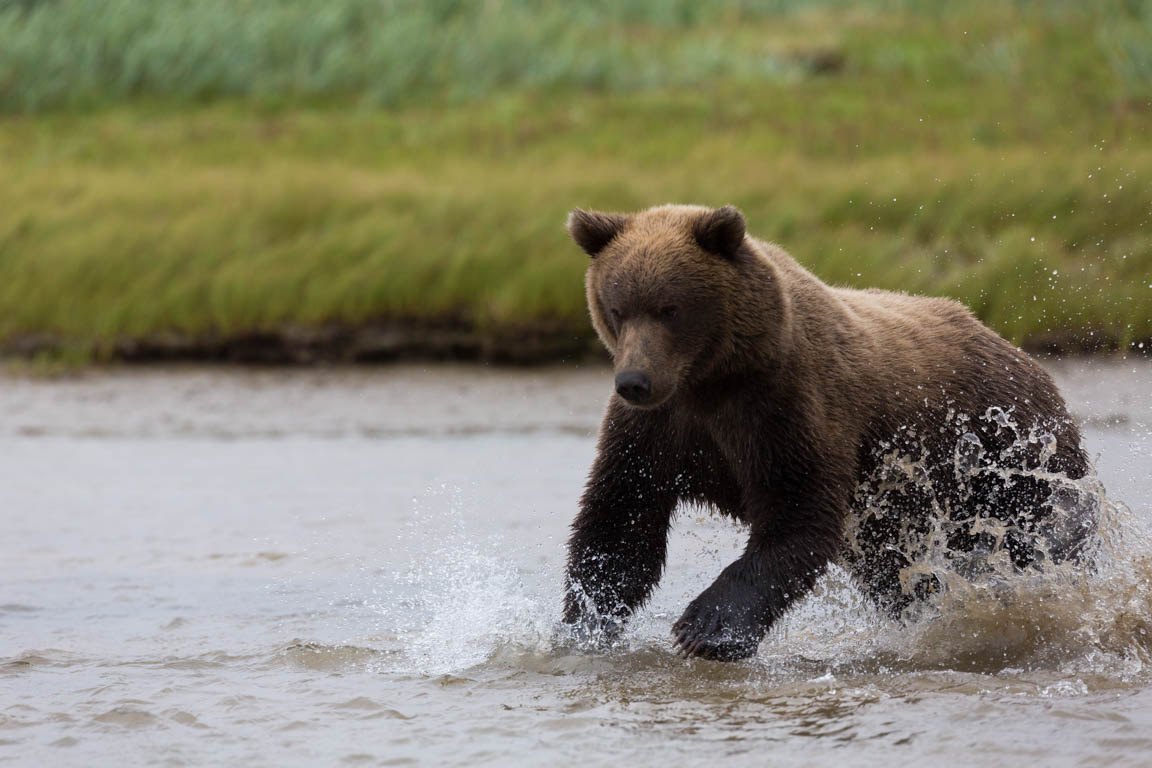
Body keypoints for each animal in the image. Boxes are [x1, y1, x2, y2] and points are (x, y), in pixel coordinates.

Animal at [562, 202, 1092, 663]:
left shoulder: (790, 407)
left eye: (670, 308)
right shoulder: (659, 430)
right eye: (617, 307)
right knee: (902, 574)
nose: (634, 381)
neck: (712, 381)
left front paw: (706, 628)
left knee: (1044, 537)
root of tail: (1023, 356)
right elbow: (620, 524)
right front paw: (583, 622)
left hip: (1006, 456)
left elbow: (798, 514)